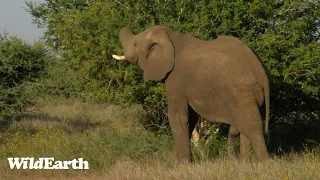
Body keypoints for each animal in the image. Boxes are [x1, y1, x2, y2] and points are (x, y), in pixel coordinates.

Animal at [112, 25, 270, 162]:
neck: (170, 37)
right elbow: (191, 116)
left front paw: (181, 164)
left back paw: (263, 164)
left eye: (135, 44)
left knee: (252, 126)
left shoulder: (176, 78)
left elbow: (178, 117)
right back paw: (244, 162)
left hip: (242, 91)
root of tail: (262, 72)